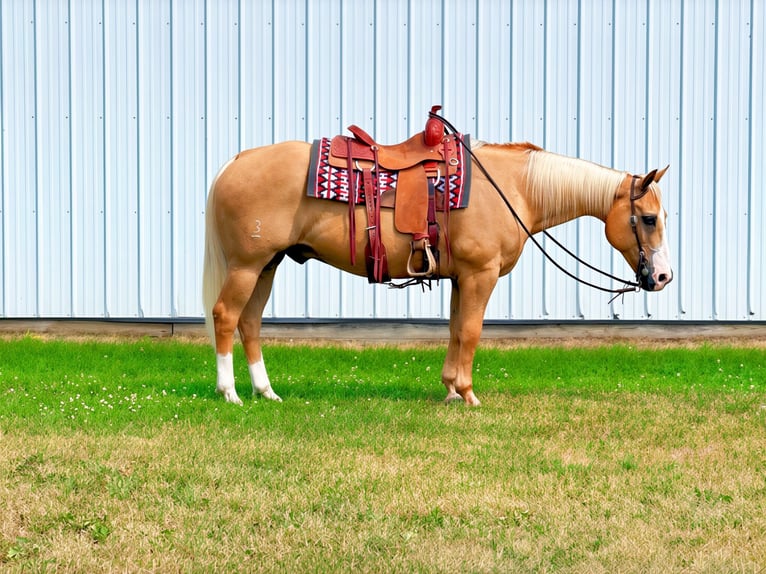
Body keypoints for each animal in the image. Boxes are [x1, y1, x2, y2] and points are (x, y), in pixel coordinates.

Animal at [202, 138, 672, 406]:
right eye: (649, 218)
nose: (663, 278)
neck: (513, 187)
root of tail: (234, 162)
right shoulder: (481, 274)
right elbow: (471, 332)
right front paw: (467, 393)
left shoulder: (461, 277)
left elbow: (454, 330)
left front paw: (448, 389)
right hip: (247, 266)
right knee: (226, 316)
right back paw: (230, 394)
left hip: (267, 265)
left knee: (250, 322)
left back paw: (266, 391)